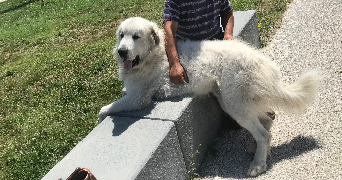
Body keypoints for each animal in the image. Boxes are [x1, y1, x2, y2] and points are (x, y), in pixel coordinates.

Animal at [98, 17, 320, 176]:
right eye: (121, 35)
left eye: (136, 36)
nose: (121, 51)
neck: (155, 54)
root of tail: (262, 61)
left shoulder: (139, 98)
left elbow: (105, 109)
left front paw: (103, 115)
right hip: (229, 99)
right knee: (267, 118)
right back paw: (258, 149)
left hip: (234, 104)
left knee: (263, 132)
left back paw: (258, 164)